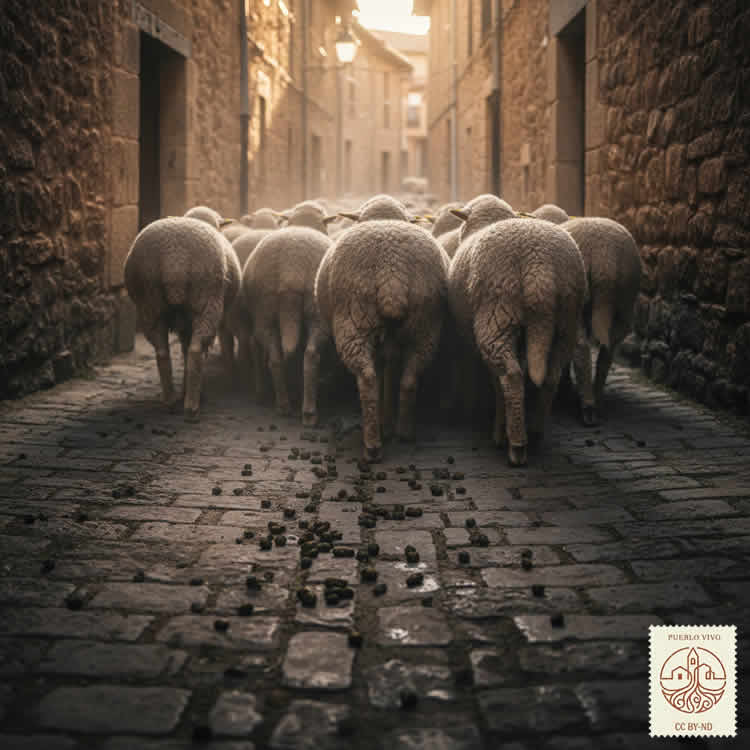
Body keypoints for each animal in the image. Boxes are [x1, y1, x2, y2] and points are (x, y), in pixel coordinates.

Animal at [124, 217, 241, 420]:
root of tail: (174, 262)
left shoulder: (184, 322)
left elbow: (184, 351)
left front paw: (184, 389)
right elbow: (190, 351)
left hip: (150, 305)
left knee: (163, 352)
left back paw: (171, 401)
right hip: (207, 303)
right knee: (196, 351)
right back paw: (192, 407)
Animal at [242, 225, 332, 424]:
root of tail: (291, 269)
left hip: (266, 312)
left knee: (280, 358)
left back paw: (287, 407)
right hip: (315, 313)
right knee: (309, 354)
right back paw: (306, 412)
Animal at [315, 215, 449, 461]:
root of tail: (392, 272)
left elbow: (379, 374)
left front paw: (382, 424)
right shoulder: (390, 342)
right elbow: (389, 372)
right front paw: (387, 424)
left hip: (355, 321)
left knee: (367, 378)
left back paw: (372, 446)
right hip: (425, 325)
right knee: (409, 378)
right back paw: (404, 433)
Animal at [448, 217, 586, 466]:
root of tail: (539, 265)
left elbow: (495, 383)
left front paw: (499, 430)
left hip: (497, 317)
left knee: (511, 376)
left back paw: (515, 445)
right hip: (566, 322)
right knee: (551, 376)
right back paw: (536, 433)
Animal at [560, 217, 641, 425]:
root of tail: (605, 257)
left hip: (577, 305)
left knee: (581, 349)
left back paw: (587, 407)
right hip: (624, 306)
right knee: (607, 353)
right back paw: (596, 399)